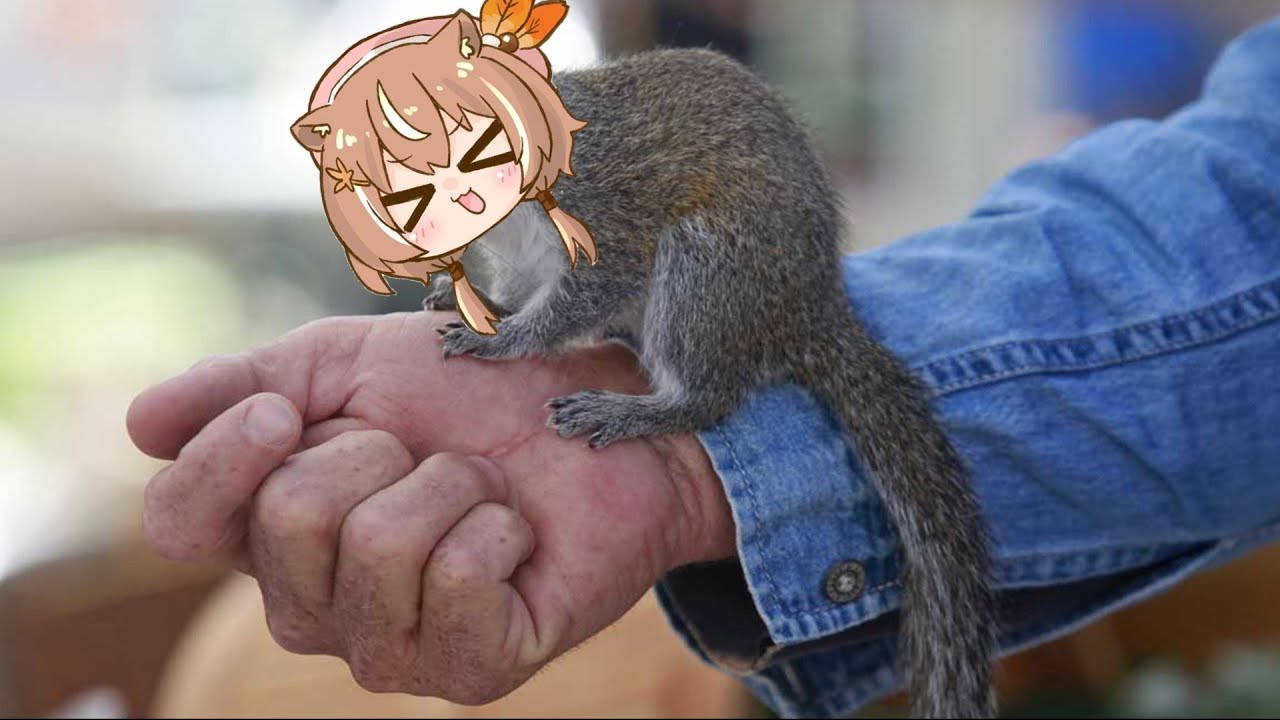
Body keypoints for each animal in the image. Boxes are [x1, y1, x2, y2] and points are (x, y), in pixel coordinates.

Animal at [427, 46, 999, 719]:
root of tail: (808, 309)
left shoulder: (599, 212)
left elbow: (586, 290)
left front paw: (500, 340)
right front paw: (468, 300)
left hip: (710, 269)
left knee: (706, 398)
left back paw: (632, 413)